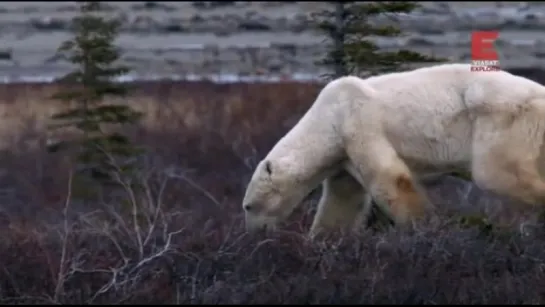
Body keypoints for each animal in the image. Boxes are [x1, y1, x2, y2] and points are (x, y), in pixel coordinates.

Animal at [242, 63, 545, 238]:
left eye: (248, 205)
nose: (254, 234)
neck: (327, 119)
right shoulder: (343, 156)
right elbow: (342, 201)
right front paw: (322, 241)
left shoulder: (358, 122)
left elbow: (390, 179)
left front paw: (424, 228)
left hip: (501, 119)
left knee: (494, 172)